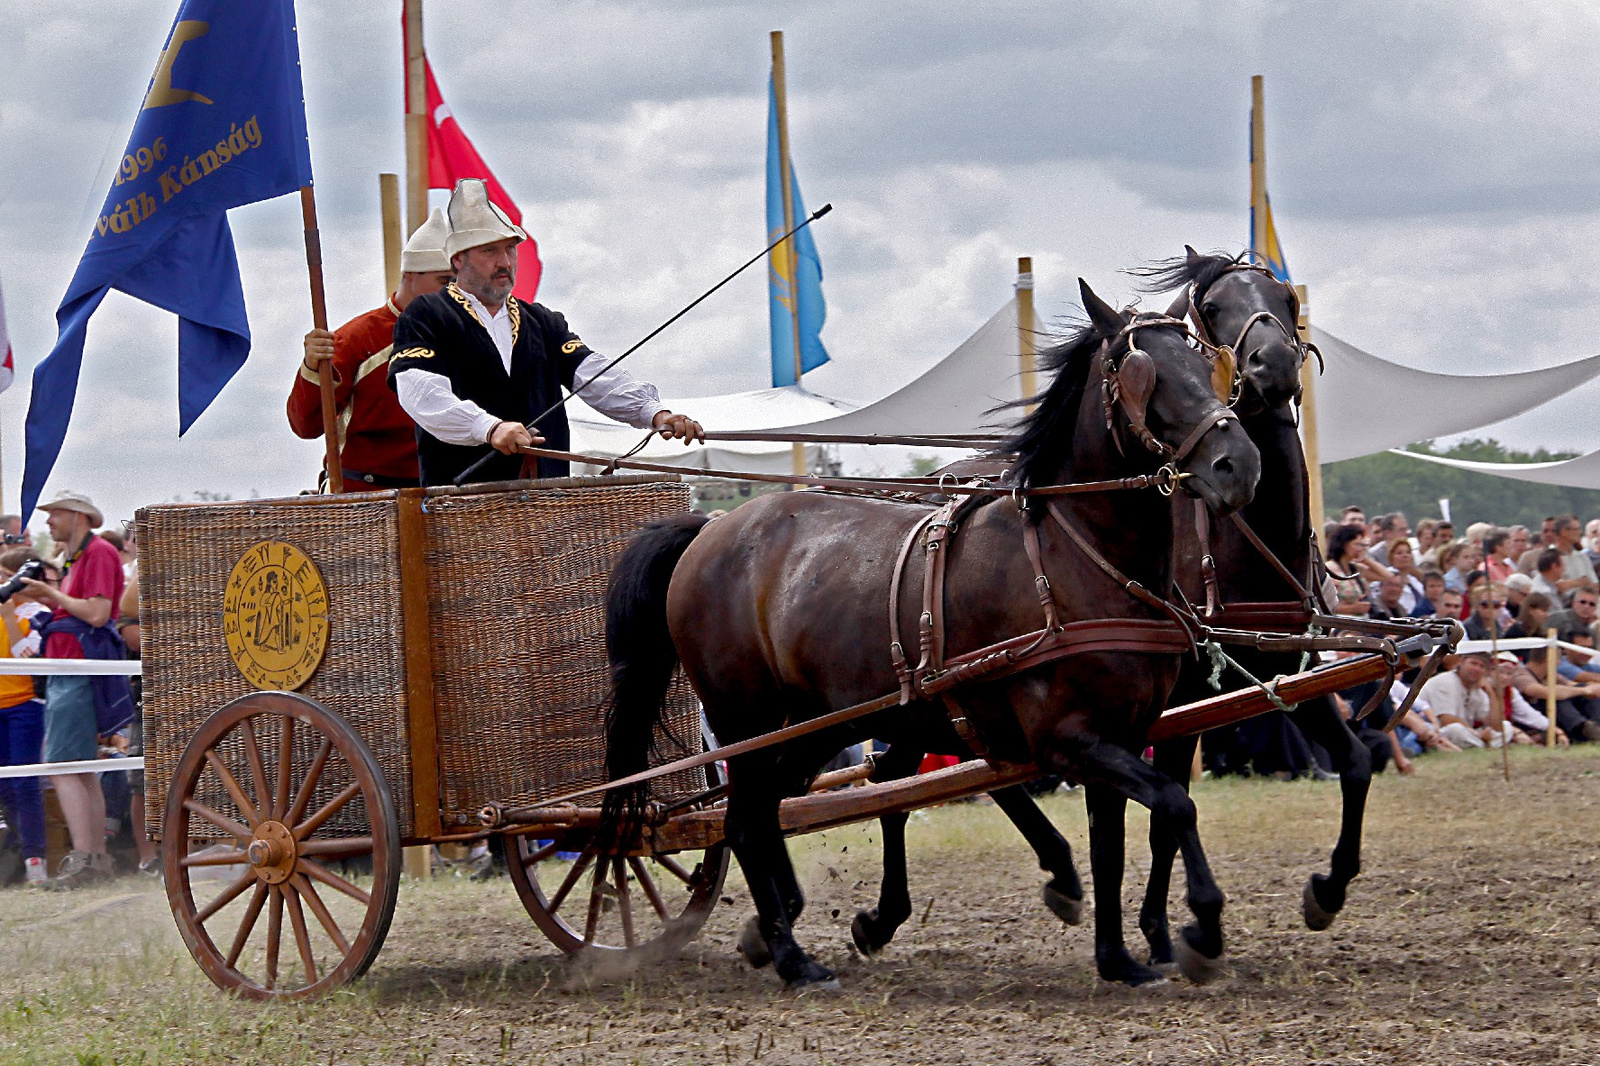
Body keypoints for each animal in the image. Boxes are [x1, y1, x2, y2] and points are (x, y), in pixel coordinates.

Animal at [601, 280, 1260, 985]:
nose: (1239, 465)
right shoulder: (1066, 740)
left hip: (819, 722)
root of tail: (709, 528)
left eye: (1207, 365)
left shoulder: (1122, 732)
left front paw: (1118, 959)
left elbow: (1112, 842)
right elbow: (1173, 803)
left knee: (773, 806)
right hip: (743, 718)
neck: (1075, 556)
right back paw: (793, 958)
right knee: (746, 822)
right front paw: (1203, 925)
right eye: (1140, 372)